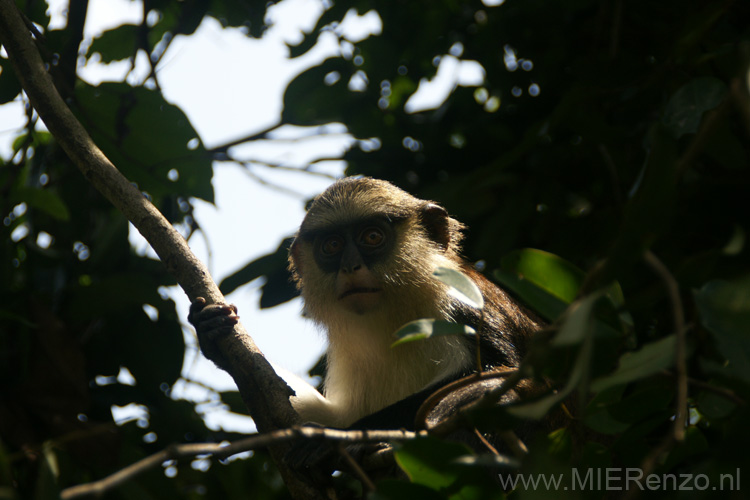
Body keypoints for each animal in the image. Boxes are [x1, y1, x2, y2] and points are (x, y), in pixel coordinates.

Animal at [189, 177, 548, 438]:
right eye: (332, 245)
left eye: (372, 237)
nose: (350, 267)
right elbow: (328, 414)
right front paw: (212, 334)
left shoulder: (463, 306)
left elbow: (509, 376)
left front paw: (336, 442)